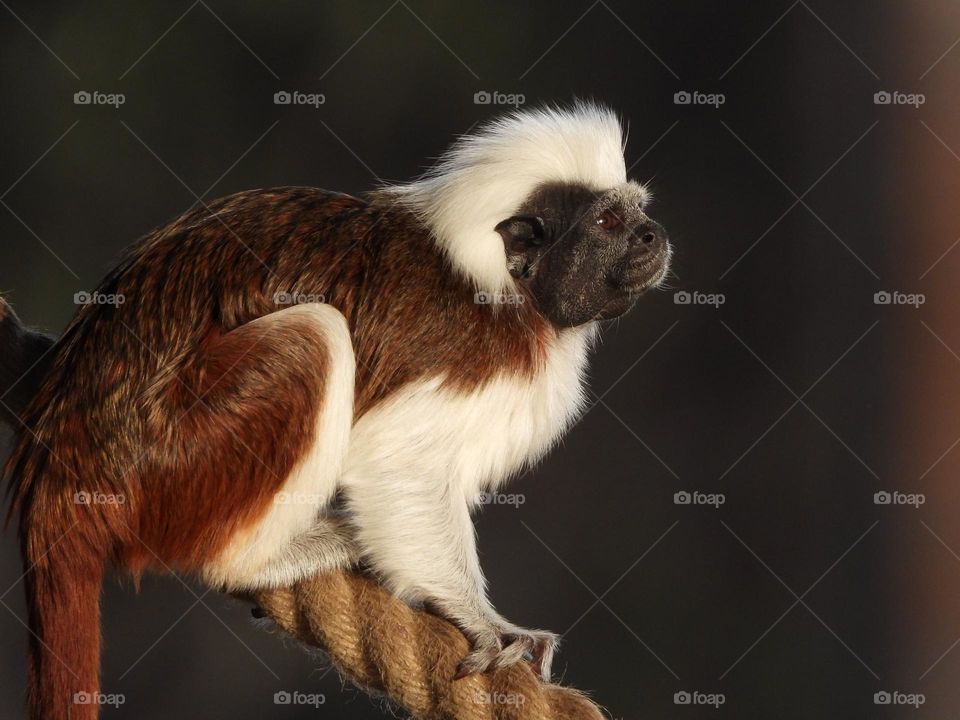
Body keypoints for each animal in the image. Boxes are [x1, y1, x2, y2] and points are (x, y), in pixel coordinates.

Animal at [0, 102, 671, 720]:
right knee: (314, 337)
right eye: (608, 222)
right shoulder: (471, 354)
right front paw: (483, 621)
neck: (504, 282)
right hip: (175, 463)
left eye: (638, 214)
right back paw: (255, 561)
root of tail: (62, 467)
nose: (652, 235)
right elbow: (399, 462)